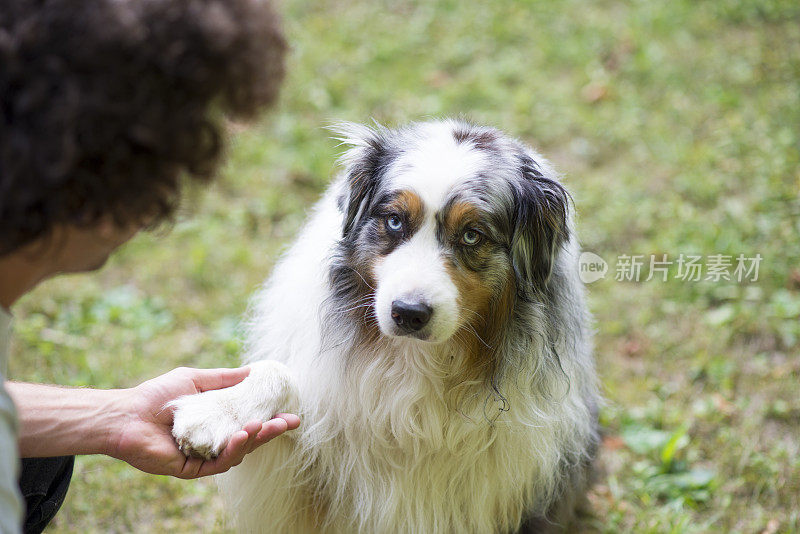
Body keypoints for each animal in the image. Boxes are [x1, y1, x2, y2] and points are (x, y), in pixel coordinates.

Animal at [169, 119, 596, 532]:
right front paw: (216, 412)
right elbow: (280, 374)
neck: (416, 360)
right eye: (394, 221)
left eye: (472, 235)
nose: (408, 313)